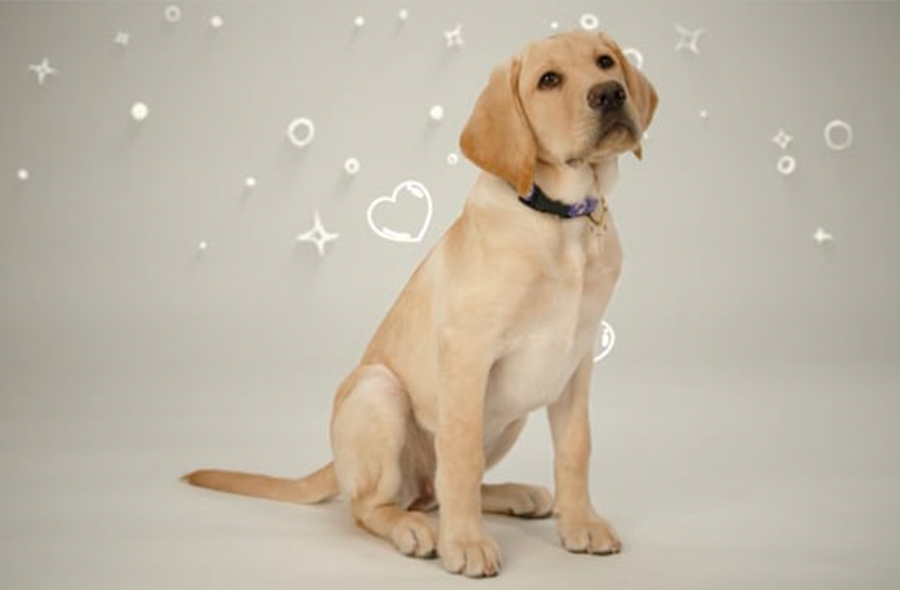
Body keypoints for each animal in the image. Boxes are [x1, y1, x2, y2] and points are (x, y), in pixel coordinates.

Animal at [186, 30, 656, 580]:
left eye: (605, 62)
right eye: (548, 80)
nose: (609, 94)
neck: (563, 219)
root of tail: (335, 462)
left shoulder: (576, 361)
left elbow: (576, 448)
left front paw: (581, 522)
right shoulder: (468, 353)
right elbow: (460, 456)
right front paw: (466, 542)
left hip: (510, 416)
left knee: (433, 491)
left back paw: (515, 494)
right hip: (379, 390)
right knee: (376, 504)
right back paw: (416, 530)